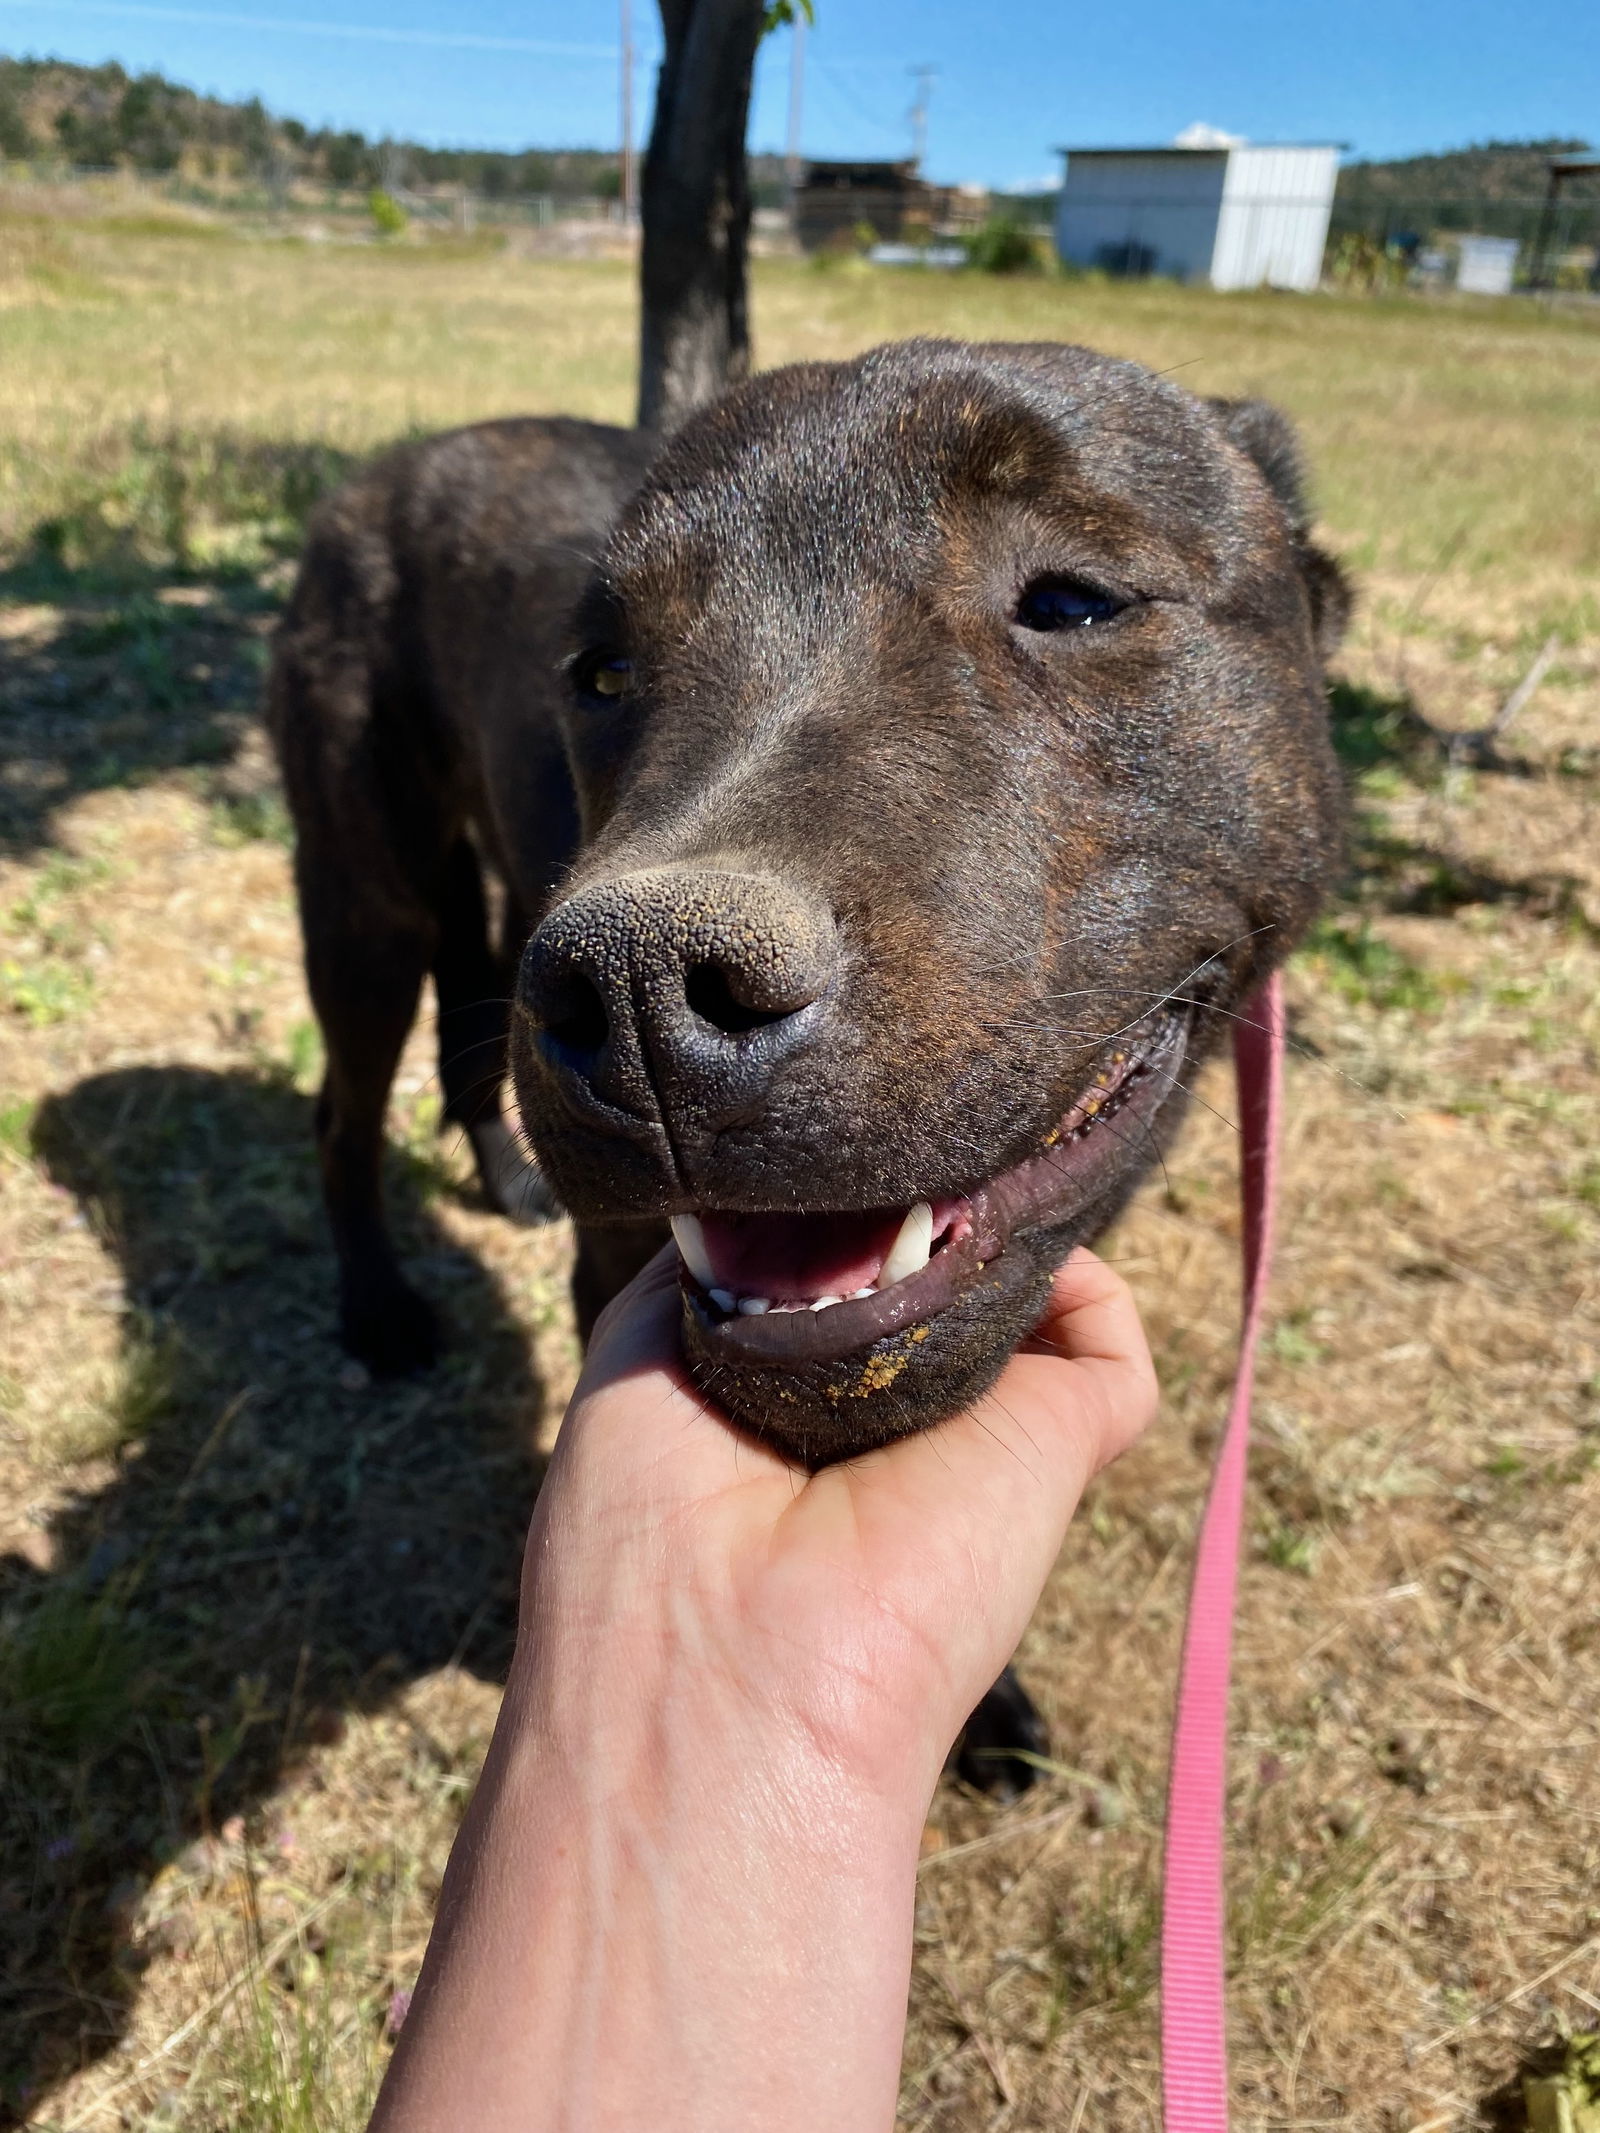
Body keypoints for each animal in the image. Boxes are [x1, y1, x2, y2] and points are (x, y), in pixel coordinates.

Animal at [275, 341, 1356, 1791]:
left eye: (1072, 601)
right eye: (600, 671)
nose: (640, 989)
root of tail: (390, 465)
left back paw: (501, 1175)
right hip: (367, 893)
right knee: (344, 1110)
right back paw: (379, 1308)